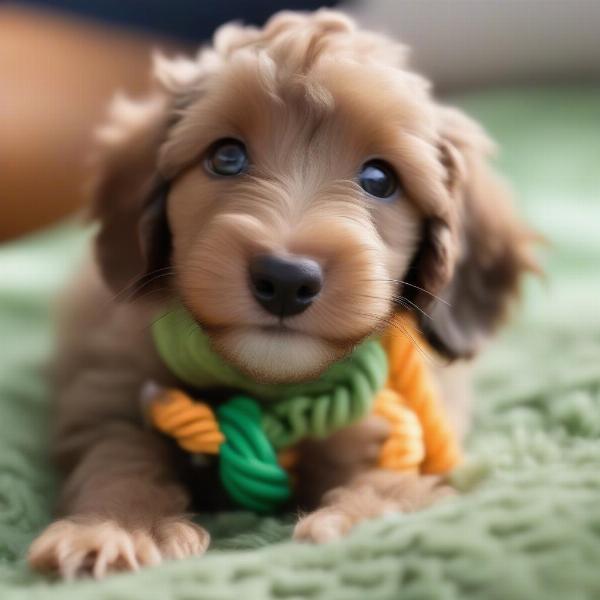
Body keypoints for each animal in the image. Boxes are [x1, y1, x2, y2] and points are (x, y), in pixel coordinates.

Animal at [28, 9, 536, 580]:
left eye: (380, 178)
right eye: (227, 156)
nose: (287, 279)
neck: (270, 389)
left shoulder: (381, 425)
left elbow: (390, 482)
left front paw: (362, 517)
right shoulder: (111, 387)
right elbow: (119, 454)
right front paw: (115, 527)